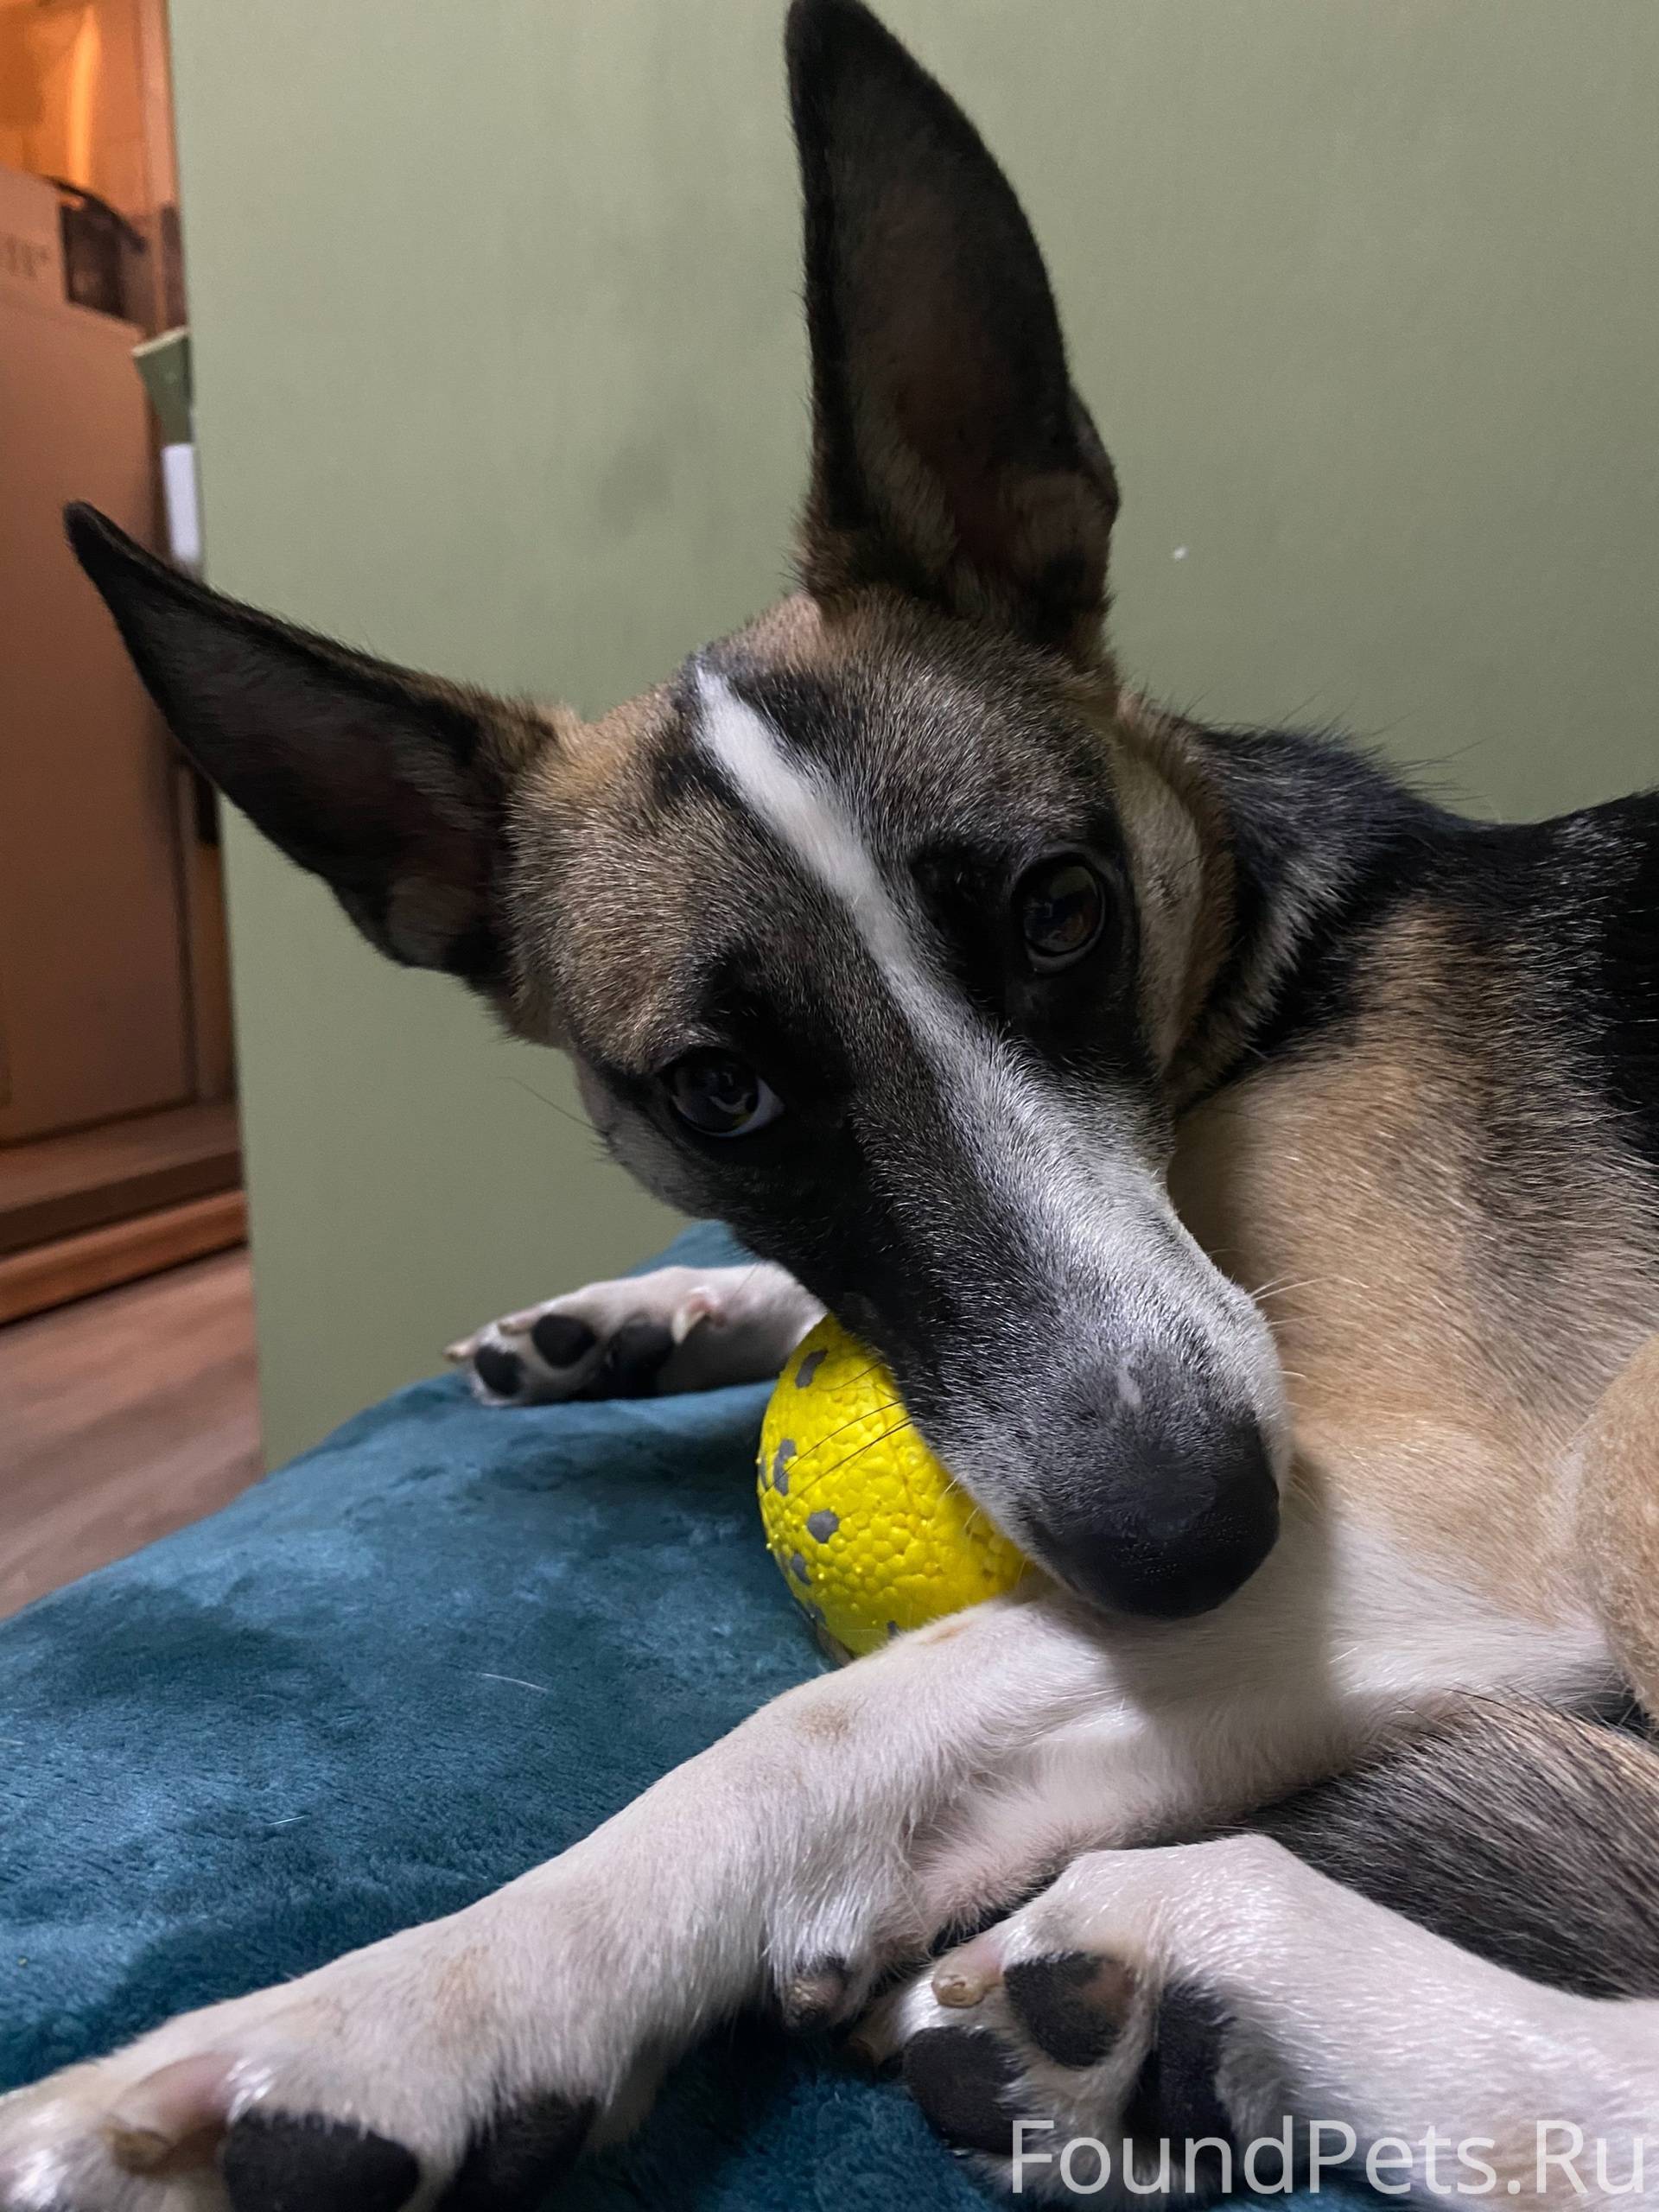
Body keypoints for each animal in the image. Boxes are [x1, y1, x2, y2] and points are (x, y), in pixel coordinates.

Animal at [5, 1, 1658, 2203]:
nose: (1187, 1531)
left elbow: (812, 1735)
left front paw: (381, 2021)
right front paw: (651, 1310)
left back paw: (1216, 1957)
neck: (1255, 969)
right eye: (721, 1090)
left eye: (1060, 910)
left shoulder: (1442, 1515)